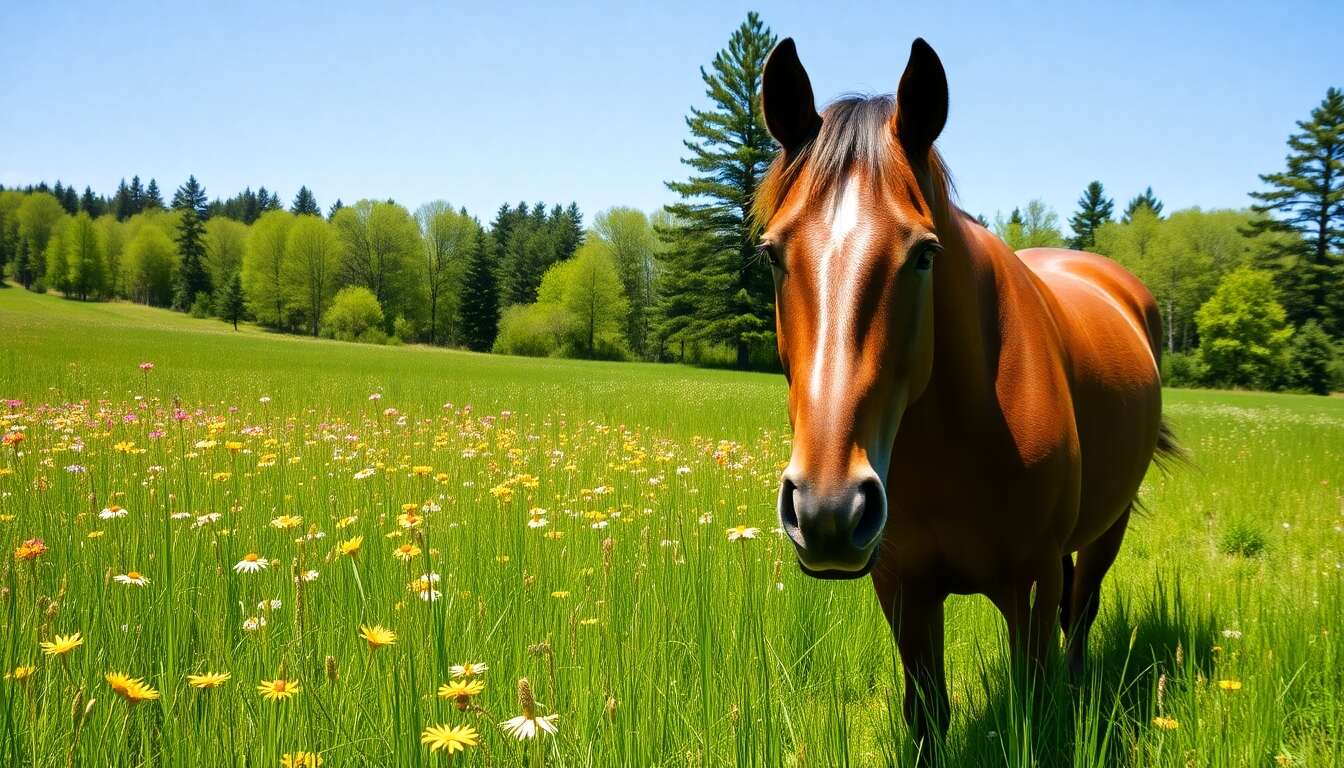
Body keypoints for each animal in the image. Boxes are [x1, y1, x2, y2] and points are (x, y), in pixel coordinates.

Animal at [754, 37, 1182, 749]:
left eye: (924, 254)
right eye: (772, 254)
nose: (827, 510)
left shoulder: (1030, 582)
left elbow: (1035, 704)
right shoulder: (903, 587)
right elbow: (928, 712)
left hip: (1109, 526)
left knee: (1081, 615)